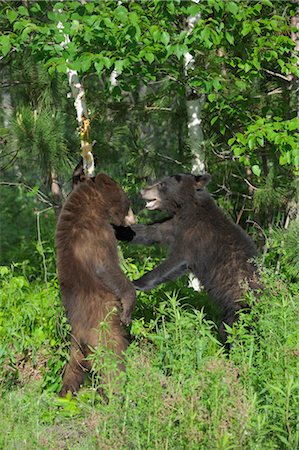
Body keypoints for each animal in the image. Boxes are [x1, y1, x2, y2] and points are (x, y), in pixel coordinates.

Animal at [55, 172, 137, 398]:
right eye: (128, 203)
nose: (134, 219)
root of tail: (79, 335)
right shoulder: (95, 235)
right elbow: (107, 268)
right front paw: (128, 308)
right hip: (103, 330)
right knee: (112, 359)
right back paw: (118, 394)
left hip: (76, 348)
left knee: (73, 369)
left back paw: (64, 394)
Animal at [116, 174, 262, 342]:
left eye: (162, 184)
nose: (142, 191)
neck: (186, 209)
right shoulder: (173, 226)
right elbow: (149, 231)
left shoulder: (196, 238)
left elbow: (174, 262)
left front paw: (136, 283)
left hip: (238, 302)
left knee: (233, 329)